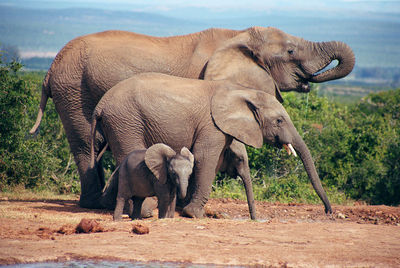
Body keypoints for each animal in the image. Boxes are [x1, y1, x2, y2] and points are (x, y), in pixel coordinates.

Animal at [90, 73, 332, 218]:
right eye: (279, 120)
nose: (328, 212)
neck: (241, 91)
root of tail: (100, 105)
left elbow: (210, 162)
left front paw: (187, 209)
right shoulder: (212, 125)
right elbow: (205, 157)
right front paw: (194, 214)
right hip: (125, 121)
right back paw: (147, 212)